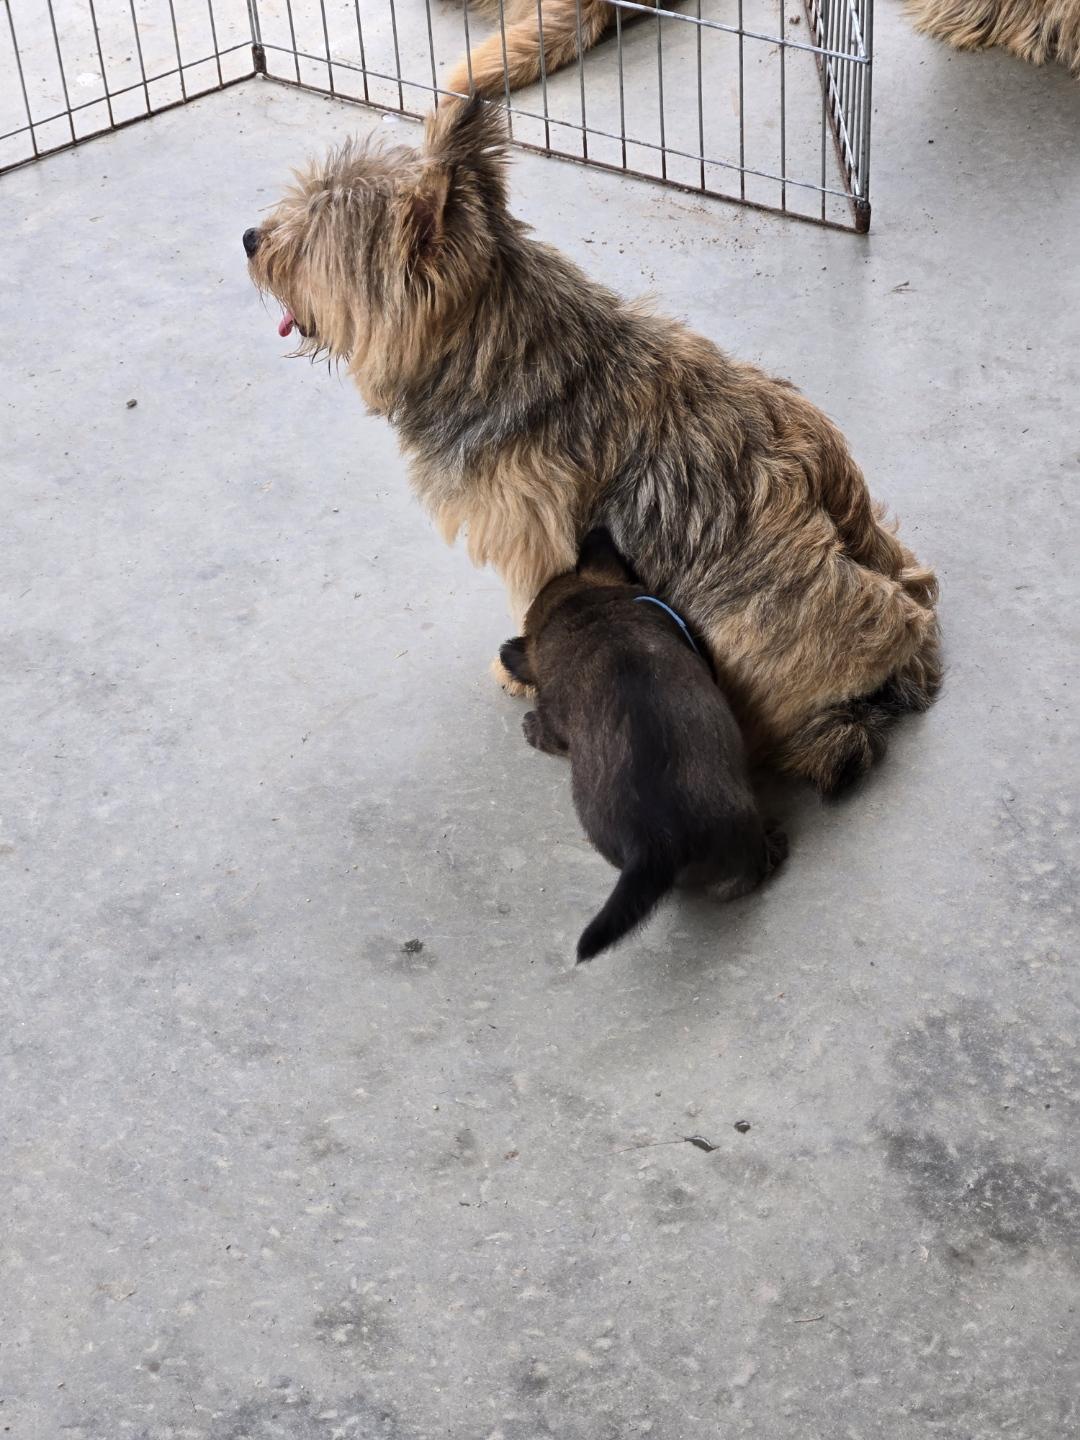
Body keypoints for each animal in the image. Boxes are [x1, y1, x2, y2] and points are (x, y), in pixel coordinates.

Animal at [242, 94, 940, 793]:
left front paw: (521, 672)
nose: (250, 239)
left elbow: (543, 607)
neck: (498, 348)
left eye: (312, 237)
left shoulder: (538, 538)